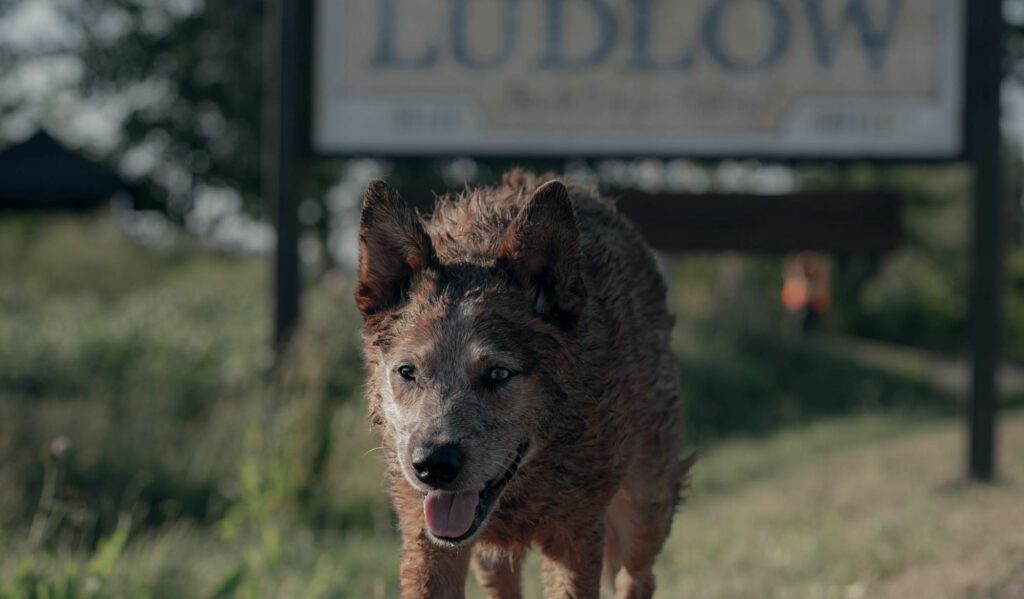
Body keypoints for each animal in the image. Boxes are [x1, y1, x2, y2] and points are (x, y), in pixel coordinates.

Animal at [356, 170, 692, 593]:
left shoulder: (576, 537)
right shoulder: (427, 543)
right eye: (407, 372)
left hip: (646, 506)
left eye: (498, 373)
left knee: (637, 576)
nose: (433, 465)